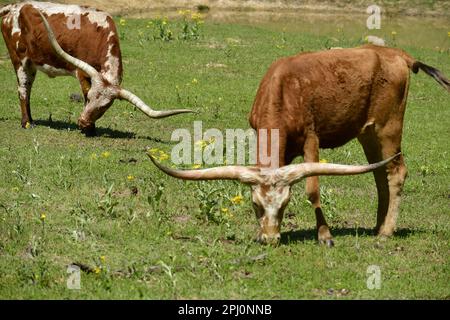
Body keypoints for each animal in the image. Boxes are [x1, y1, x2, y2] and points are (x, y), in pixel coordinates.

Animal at [0, 1, 191, 136]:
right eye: (91, 99)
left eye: (105, 107)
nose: (83, 122)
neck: (99, 34)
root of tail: (12, 7)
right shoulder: (82, 73)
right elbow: (84, 92)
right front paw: (89, 130)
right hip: (20, 59)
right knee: (23, 89)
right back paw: (26, 123)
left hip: (31, 63)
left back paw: (31, 120)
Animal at [152, 44, 450, 245]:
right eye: (256, 205)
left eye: (285, 205)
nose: (270, 239)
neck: (282, 92)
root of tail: (399, 54)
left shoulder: (311, 139)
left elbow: (312, 190)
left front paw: (325, 235)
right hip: (368, 133)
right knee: (380, 173)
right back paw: (378, 224)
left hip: (389, 128)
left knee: (396, 172)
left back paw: (386, 232)